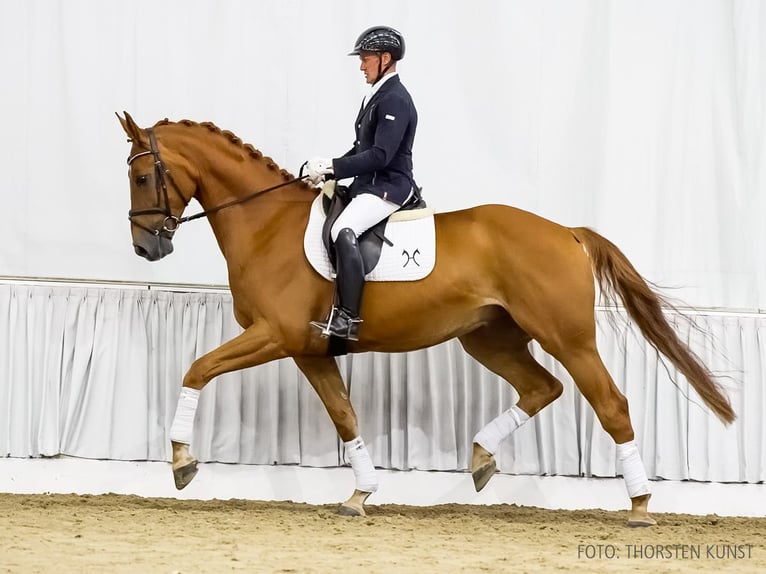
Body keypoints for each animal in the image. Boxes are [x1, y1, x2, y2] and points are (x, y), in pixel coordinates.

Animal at [117, 111, 736, 528]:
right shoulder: (308, 350)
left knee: (611, 404)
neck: (267, 225)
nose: (147, 248)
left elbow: (197, 369)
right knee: (542, 387)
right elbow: (345, 417)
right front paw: (360, 495)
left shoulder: (275, 335)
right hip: (487, 338)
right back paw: (482, 458)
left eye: (144, 177)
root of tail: (566, 231)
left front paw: (181, 461)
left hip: (568, 337)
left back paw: (639, 504)